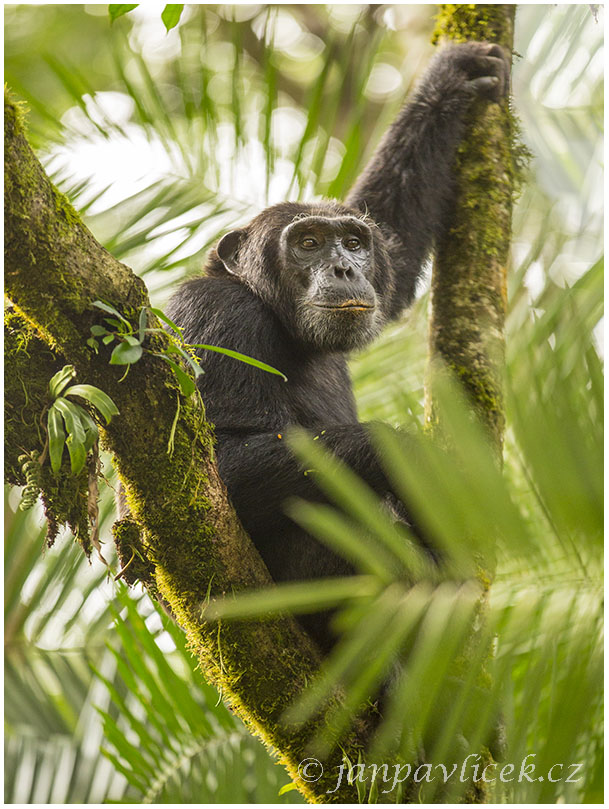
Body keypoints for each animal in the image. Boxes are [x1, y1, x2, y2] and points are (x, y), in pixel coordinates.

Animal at [165, 42, 508, 652]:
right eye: (306, 243)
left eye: (352, 241)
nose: (345, 267)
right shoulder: (213, 318)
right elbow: (213, 472)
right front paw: (420, 460)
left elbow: (396, 241)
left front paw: (452, 80)